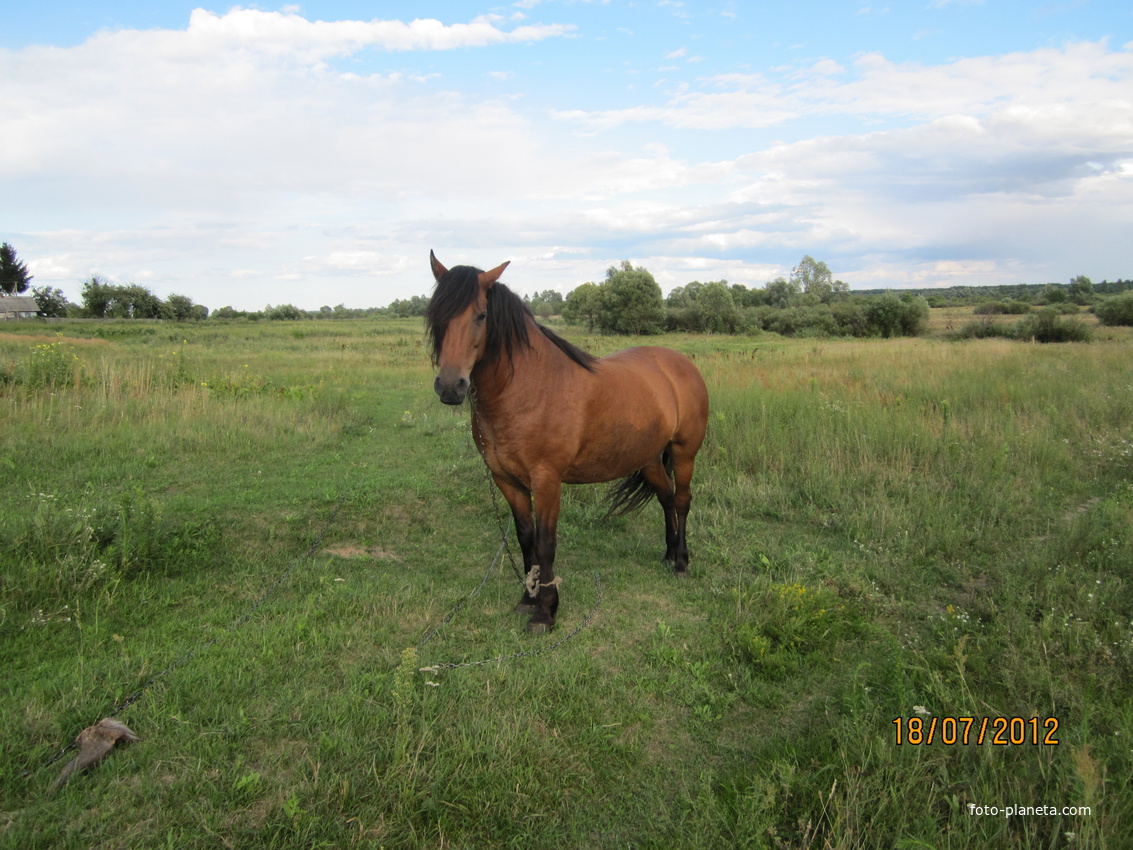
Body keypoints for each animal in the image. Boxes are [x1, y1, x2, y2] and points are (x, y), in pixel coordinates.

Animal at [426, 251, 706, 634]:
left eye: (481, 315)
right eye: (436, 314)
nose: (451, 386)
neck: (530, 388)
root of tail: (680, 363)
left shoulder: (547, 481)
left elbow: (546, 544)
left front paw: (546, 612)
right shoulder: (507, 480)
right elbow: (525, 539)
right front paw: (528, 599)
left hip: (684, 452)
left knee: (681, 500)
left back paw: (680, 563)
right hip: (647, 458)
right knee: (665, 498)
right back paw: (667, 554)